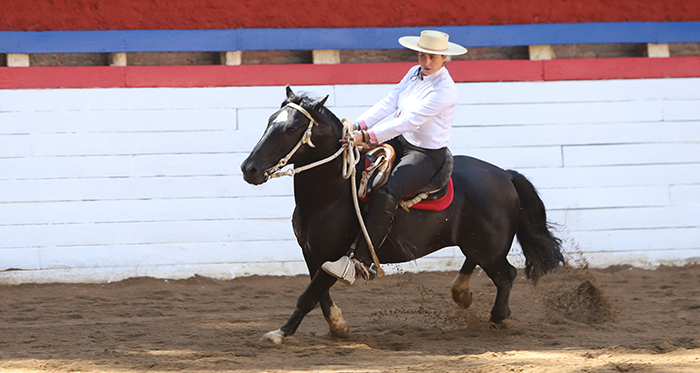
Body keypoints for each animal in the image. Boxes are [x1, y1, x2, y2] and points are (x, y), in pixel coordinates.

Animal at [241, 87, 564, 342]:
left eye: (291, 129)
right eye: (270, 122)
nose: (249, 169)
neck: (331, 197)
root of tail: (506, 175)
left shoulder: (335, 256)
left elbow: (308, 296)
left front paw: (280, 333)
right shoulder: (311, 253)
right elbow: (319, 296)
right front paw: (338, 326)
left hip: (490, 247)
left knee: (506, 275)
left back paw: (497, 317)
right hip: (477, 242)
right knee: (479, 264)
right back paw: (461, 292)